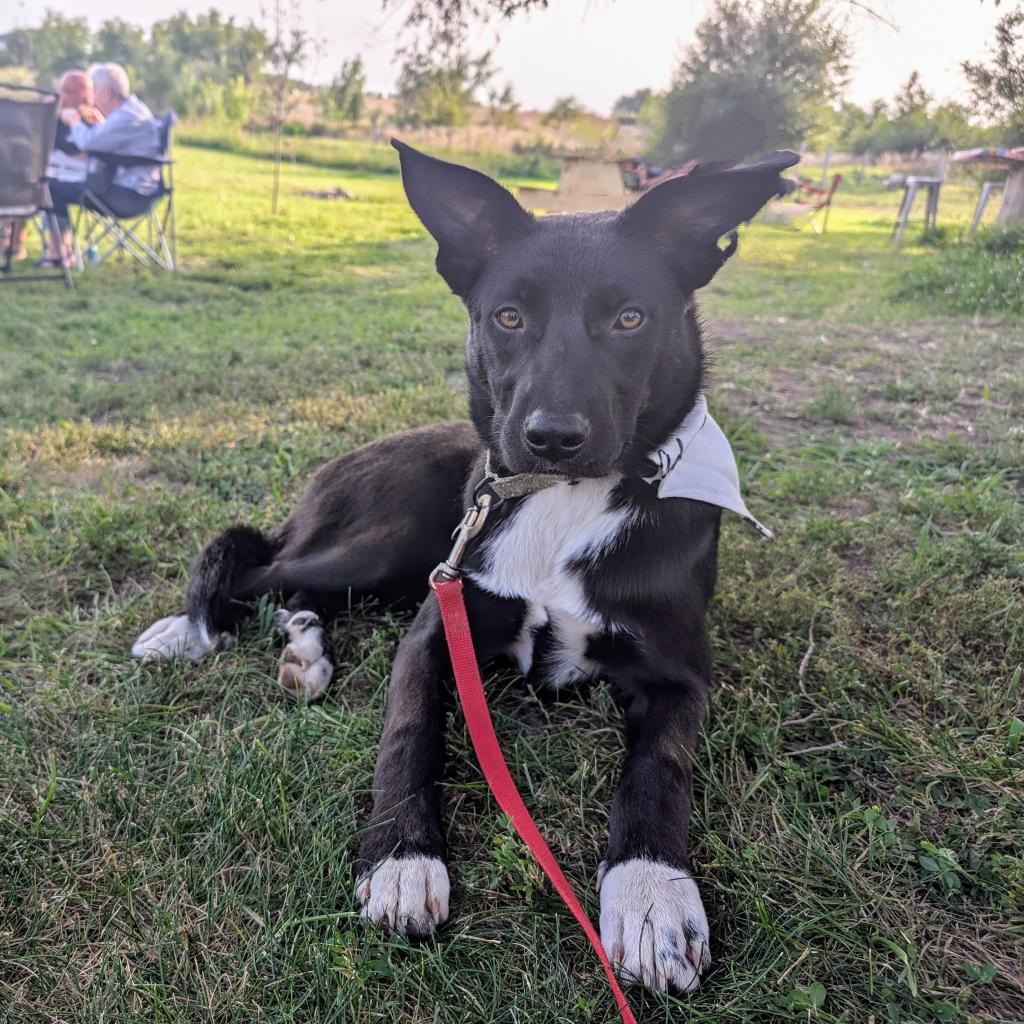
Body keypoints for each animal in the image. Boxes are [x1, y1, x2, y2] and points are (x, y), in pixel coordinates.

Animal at [132, 142, 794, 991]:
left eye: (630, 318)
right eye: (507, 316)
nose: (552, 439)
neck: (562, 502)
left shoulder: (678, 677)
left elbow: (659, 770)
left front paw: (652, 894)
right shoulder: (432, 628)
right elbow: (409, 733)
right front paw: (403, 858)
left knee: (294, 584)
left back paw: (303, 653)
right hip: (391, 541)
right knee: (259, 566)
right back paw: (187, 633)